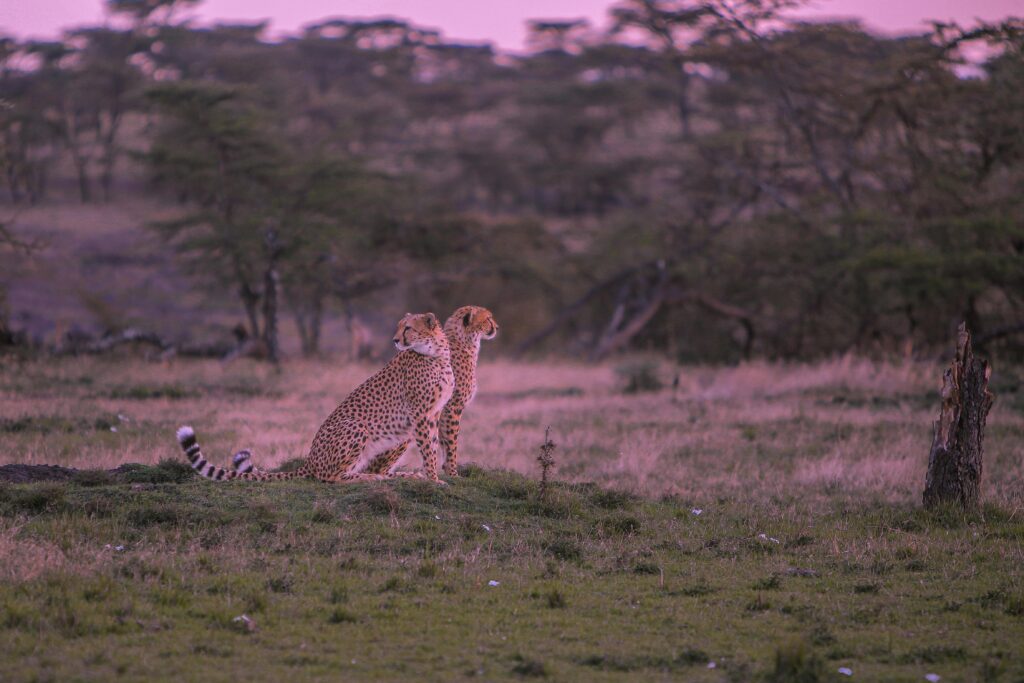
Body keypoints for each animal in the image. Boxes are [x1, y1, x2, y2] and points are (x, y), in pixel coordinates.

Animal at [175, 313, 452, 483]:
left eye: (408, 328)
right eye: (398, 327)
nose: (394, 340)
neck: (437, 353)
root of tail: (309, 460)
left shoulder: (433, 413)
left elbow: (433, 445)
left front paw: (432, 477)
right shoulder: (420, 413)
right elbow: (428, 448)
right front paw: (434, 480)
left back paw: (400, 476)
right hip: (356, 427)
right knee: (331, 477)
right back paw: (373, 478)